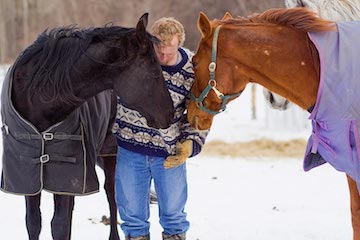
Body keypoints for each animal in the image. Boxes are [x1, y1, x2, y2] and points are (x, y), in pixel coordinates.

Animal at [0, 13, 174, 240]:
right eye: (153, 69)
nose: (170, 114)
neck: (37, 99)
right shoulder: (28, 173)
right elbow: (34, 222)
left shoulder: (68, 175)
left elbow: (59, 225)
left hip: (110, 155)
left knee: (112, 197)